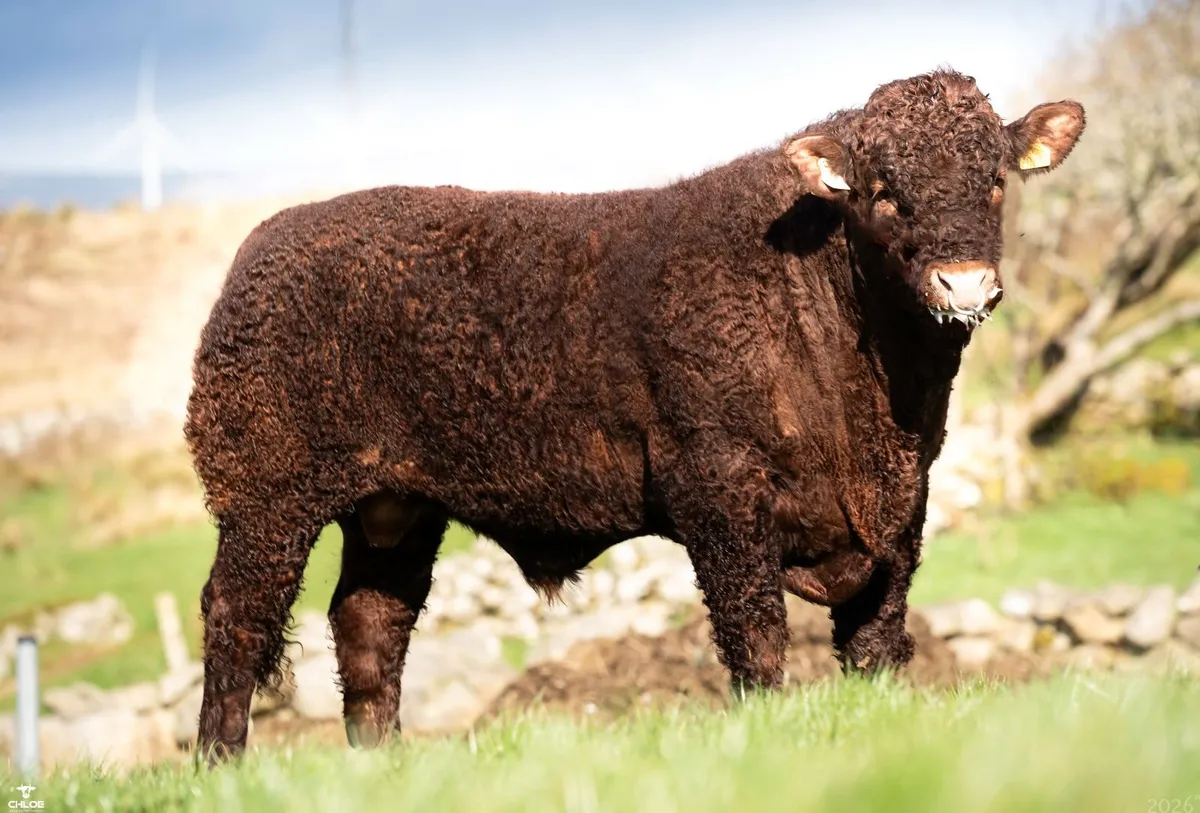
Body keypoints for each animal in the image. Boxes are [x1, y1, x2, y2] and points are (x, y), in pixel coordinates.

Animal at [184, 68, 1085, 761]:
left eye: (996, 179)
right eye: (883, 192)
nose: (963, 283)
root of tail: (264, 243)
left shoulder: (900, 512)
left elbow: (876, 644)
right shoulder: (719, 492)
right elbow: (756, 636)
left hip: (395, 508)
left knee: (371, 622)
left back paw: (383, 763)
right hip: (266, 499)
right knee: (237, 617)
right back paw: (219, 763)